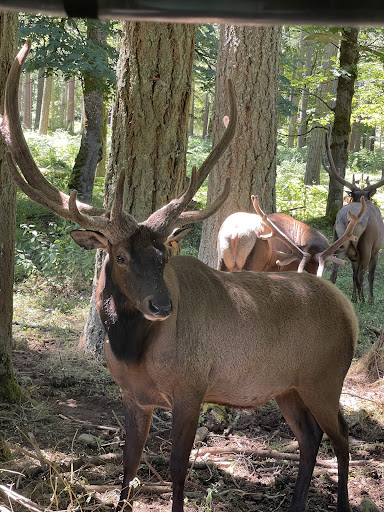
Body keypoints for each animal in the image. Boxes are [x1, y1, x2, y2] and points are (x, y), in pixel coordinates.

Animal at [0, 40, 360, 512]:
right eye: (119, 256)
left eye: (164, 256)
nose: (162, 305)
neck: (135, 350)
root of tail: (350, 312)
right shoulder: (134, 396)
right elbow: (129, 465)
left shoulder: (192, 388)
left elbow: (177, 469)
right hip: (288, 387)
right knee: (311, 437)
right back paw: (298, 502)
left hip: (325, 379)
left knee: (343, 437)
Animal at [322, 130, 384, 302]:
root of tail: (348, 218)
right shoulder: (376, 250)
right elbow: (369, 275)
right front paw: (369, 298)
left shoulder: (353, 256)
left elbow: (352, 274)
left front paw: (353, 297)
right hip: (366, 244)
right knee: (361, 275)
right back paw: (363, 301)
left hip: (338, 240)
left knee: (334, 271)